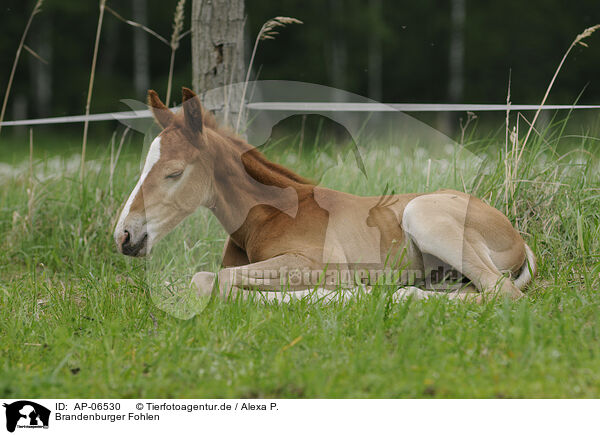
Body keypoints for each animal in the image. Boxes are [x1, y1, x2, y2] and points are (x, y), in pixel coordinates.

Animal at [113, 88, 536, 304]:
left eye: (174, 172)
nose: (124, 236)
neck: (267, 214)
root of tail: (516, 235)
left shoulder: (319, 264)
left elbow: (207, 280)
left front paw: (339, 296)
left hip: (423, 216)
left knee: (501, 292)